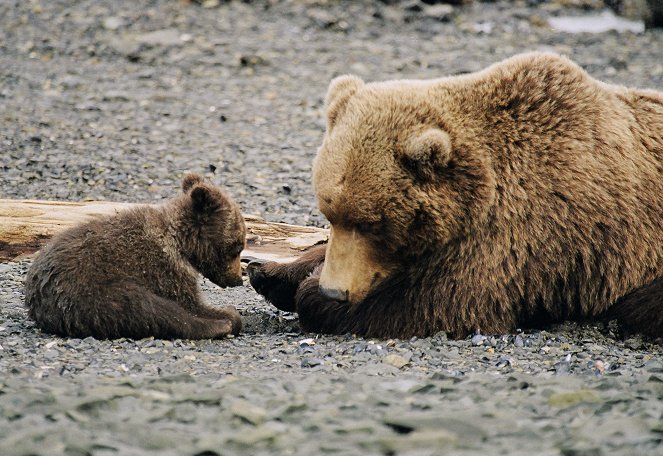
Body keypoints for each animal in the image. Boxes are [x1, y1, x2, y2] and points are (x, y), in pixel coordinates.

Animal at [249, 52, 663, 338]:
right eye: (330, 213)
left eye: (371, 223)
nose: (334, 291)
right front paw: (274, 273)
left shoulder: (524, 234)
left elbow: (438, 302)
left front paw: (311, 295)